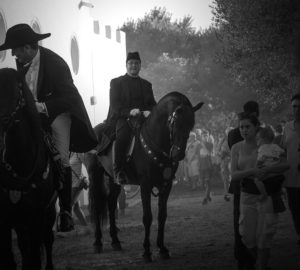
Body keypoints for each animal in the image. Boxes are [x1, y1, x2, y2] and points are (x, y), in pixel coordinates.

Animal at [0, 68, 56, 270]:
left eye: (16, 92)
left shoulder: (37, 214)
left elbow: (34, 257)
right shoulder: (6, 218)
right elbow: (10, 257)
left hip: (48, 212)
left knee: (47, 240)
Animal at [84, 91, 203, 262]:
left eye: (191, 124)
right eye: (175, 123)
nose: (179, 154)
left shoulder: (166, 185)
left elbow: (162, 216)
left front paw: (162, 249)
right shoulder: (145, 185)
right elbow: (147, 217)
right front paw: (147, 252)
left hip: (114, 180)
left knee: (111, 205)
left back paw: (115, 241)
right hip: (95, 176)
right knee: (97, 207)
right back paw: (98, 243)